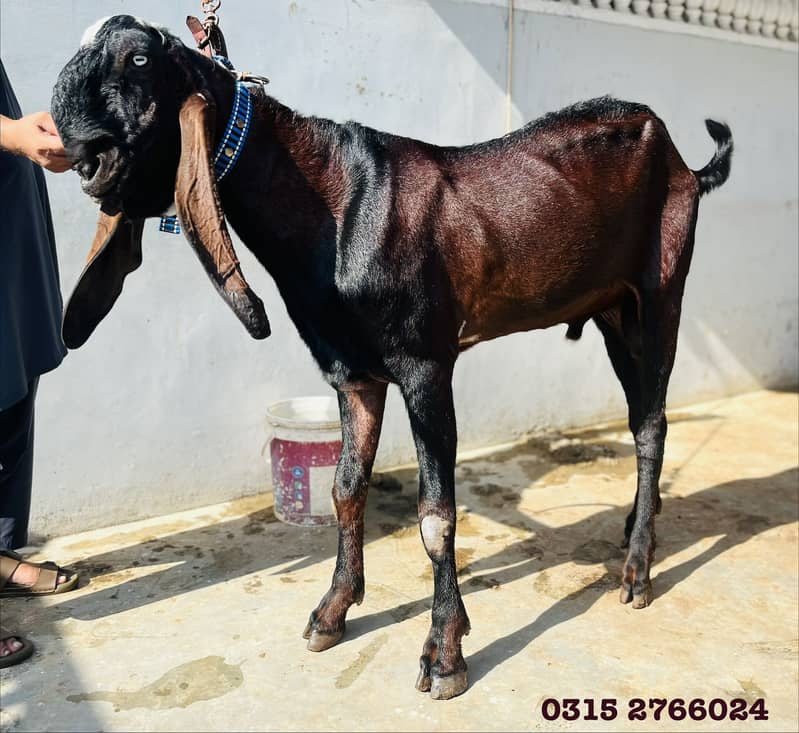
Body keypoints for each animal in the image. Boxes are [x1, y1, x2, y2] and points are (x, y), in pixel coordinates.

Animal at [52, 15, 732, 699]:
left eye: (139, 59)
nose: (83, 153)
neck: (333, 206)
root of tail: (683, 163)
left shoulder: (425, 364)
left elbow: (436, 515)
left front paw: (444, 653)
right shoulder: (352, 372)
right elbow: (345, 488)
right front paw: (332, 611)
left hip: (659, 295)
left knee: (651, 425)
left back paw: (637, 570)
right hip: (613, 312)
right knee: (643, 419)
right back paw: (636, 526)